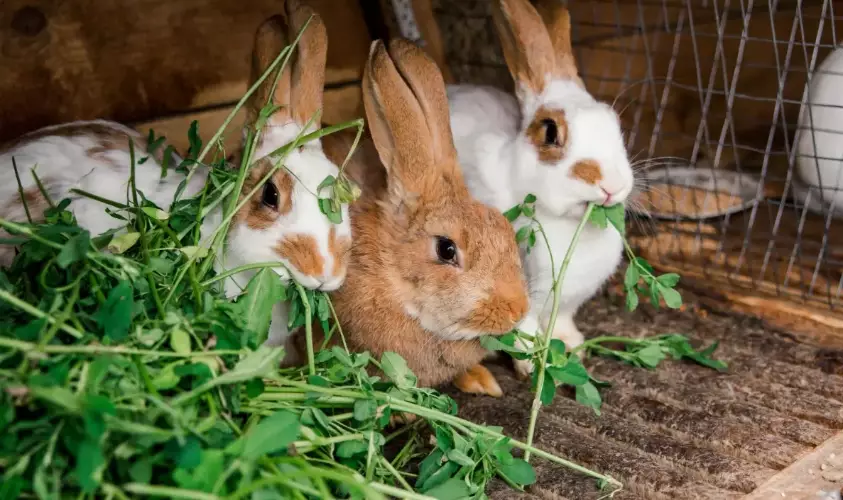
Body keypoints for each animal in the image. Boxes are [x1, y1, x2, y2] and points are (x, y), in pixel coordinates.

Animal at [443, 0, 635, 378]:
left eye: (614, 123)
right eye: (549, 131)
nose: (613, 185)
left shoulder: (567, 303)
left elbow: (560, 322)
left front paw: (571, 347)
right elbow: (523, 330)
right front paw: (532, 365)